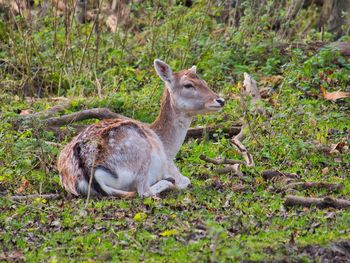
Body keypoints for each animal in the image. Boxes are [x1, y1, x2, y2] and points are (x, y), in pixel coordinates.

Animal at [57, 59, 226, 199]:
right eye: (188, 85)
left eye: (204, 81)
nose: (220, 100)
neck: (168, 149)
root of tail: (86, 168)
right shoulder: (169, 166)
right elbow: (186, 180)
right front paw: (177, 180)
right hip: (141, 151)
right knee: (144, 191)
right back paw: (168, 182)